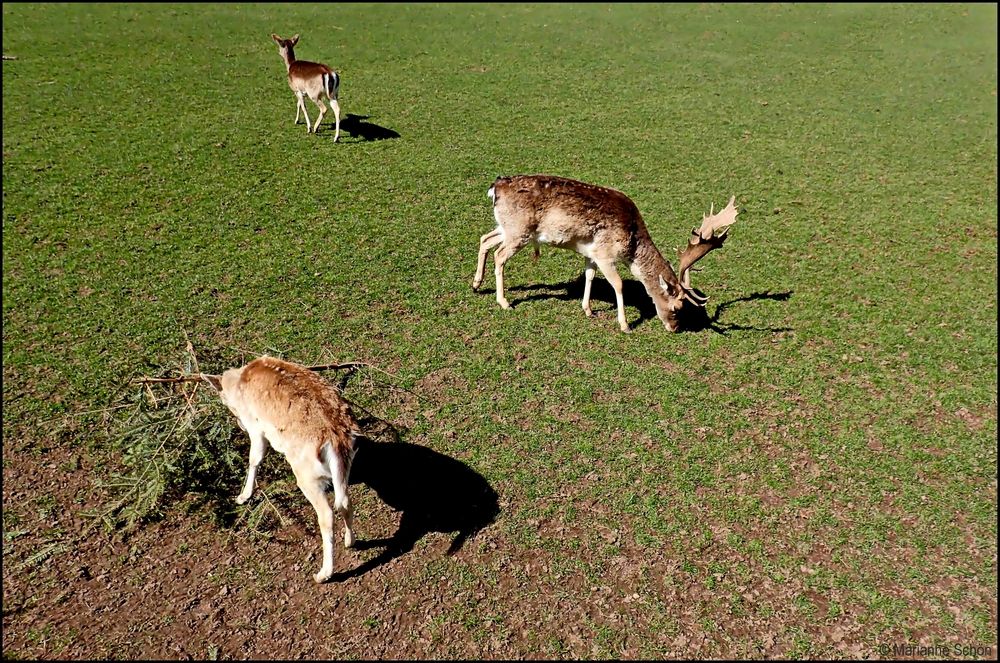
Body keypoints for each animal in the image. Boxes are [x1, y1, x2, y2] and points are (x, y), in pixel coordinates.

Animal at [203, 358, 360, 580]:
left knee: (327, 514)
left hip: (306, 474)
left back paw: (323, 573)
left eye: (226, 403)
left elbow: (255, 458)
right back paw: (350, 541)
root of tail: (336, 437)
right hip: (344, 466)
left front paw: (243, 496)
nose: (240, 425)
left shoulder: (256, 426)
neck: (239, 381)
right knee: (345, 501)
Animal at [472, 175, 740, 332]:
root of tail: (495, 187)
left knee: (485, 239)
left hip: (508, 227)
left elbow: (589, 275)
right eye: (677, 307)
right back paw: (504, 302)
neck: (632, 244)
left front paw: (588, 309)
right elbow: (618, 284)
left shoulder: (591, 252)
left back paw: (476, 284)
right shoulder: (605, 254)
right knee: (499, 255)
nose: (674, 328)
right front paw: (624, 324)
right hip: (519, 232)